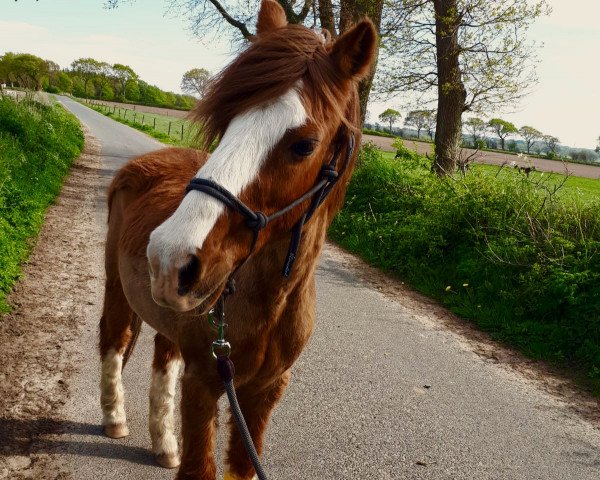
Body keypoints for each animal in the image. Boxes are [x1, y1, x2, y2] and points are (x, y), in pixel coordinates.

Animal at [101, 1, 378, 478]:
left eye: (305, 145)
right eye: (229, 122)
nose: (170, 257)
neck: (269, 302)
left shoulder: (263, 392)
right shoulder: (204, 382)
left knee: (163, 355)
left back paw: (164, 442)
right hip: (117, 288)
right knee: (114, 340)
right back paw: (115, 418)